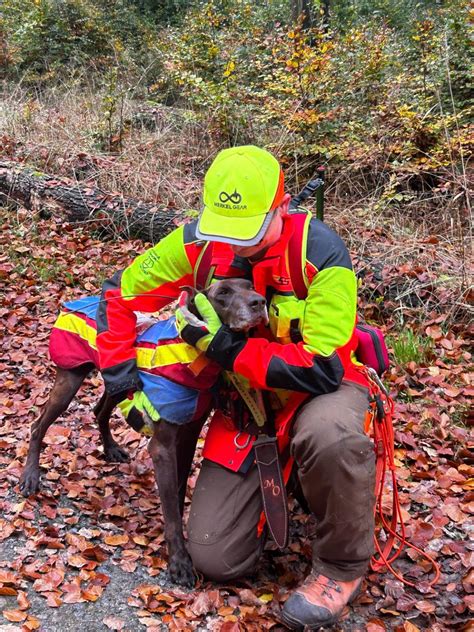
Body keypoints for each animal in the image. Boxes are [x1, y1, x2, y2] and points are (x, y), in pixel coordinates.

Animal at [18, 278, 268, 584]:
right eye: (222, 293)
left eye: (249, 285)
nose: (259, 302)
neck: (192, 355)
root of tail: (75, 303)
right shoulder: (162, 447)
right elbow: (171, 510)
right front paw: (179, 563)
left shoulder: (187, 435)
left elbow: (177, 493)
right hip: (71, 379)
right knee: (38, 425)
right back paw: (31, 475)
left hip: (119, 381)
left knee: (99, 410)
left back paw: (111, 447)